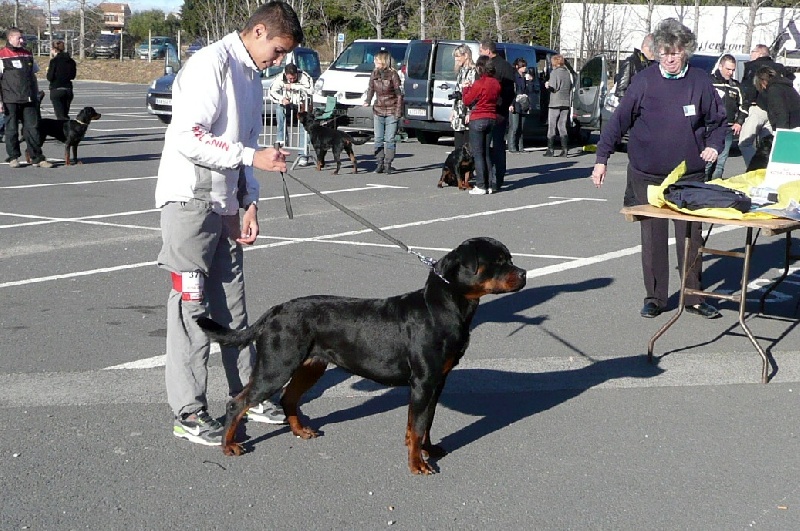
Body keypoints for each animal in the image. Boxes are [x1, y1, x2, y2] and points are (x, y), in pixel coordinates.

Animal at [197, 239, 528, 476]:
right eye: (498, 262)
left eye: (510, 259)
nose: (523, 273)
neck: (445, 306)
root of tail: (275, 311)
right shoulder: (423, 382)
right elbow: (417, 425)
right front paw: (417, 464)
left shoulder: (438, 381)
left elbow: (426, 422)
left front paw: (428, 450)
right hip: (277, 366)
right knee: (238, 402)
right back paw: (229, 446)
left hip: (310, 366)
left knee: (289, 398)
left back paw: (301, 430)